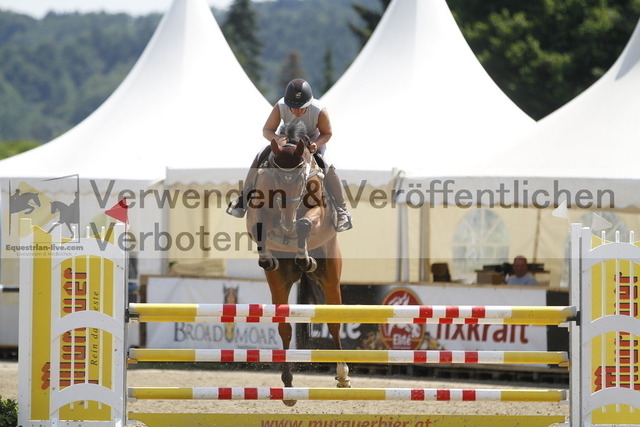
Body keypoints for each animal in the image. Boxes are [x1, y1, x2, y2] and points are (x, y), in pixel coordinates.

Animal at [245, 122, 349, 406]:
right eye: (275, 179)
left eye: (302, 180)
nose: (286, 223)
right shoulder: (257, 212)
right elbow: (258, 227)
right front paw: (266, 257)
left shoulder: (317, 211)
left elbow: (304, 223)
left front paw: (304, 255)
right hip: (279, 283)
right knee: (284, 328)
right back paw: (288, 385)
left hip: (331, 276)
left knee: (334, 323)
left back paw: (343, 375)